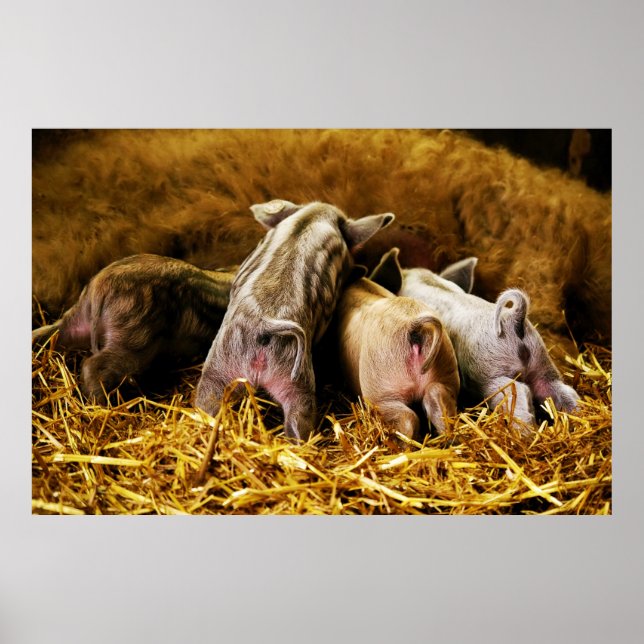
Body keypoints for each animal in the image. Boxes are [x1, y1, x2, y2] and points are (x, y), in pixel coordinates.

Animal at [32, 254, 236, 401]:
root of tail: (99, 286)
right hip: (134, 334)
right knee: (93, 366)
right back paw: (104, 403)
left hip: (77, 320)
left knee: (45, 334)